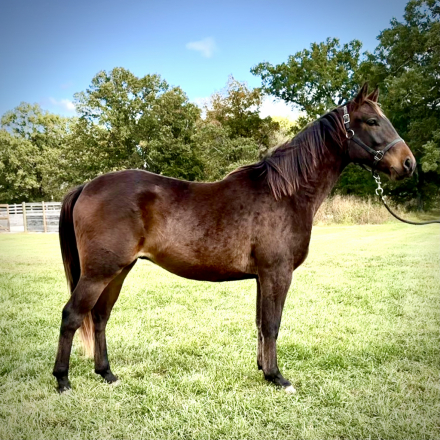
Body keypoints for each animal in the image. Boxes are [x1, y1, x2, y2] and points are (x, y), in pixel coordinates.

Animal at [52, 84, 416, 394]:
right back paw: (63, 381)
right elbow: (272, 324)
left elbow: (260, 323)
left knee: (99, 317)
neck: (284, 193)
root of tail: (87, 186)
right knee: (72, 315)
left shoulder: (262, 277)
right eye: (372, 121)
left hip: (118, 271)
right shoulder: (277, 273)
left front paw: (264, 370)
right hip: (99, 272)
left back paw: (107, 374)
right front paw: (278, 378)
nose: (409, 163)